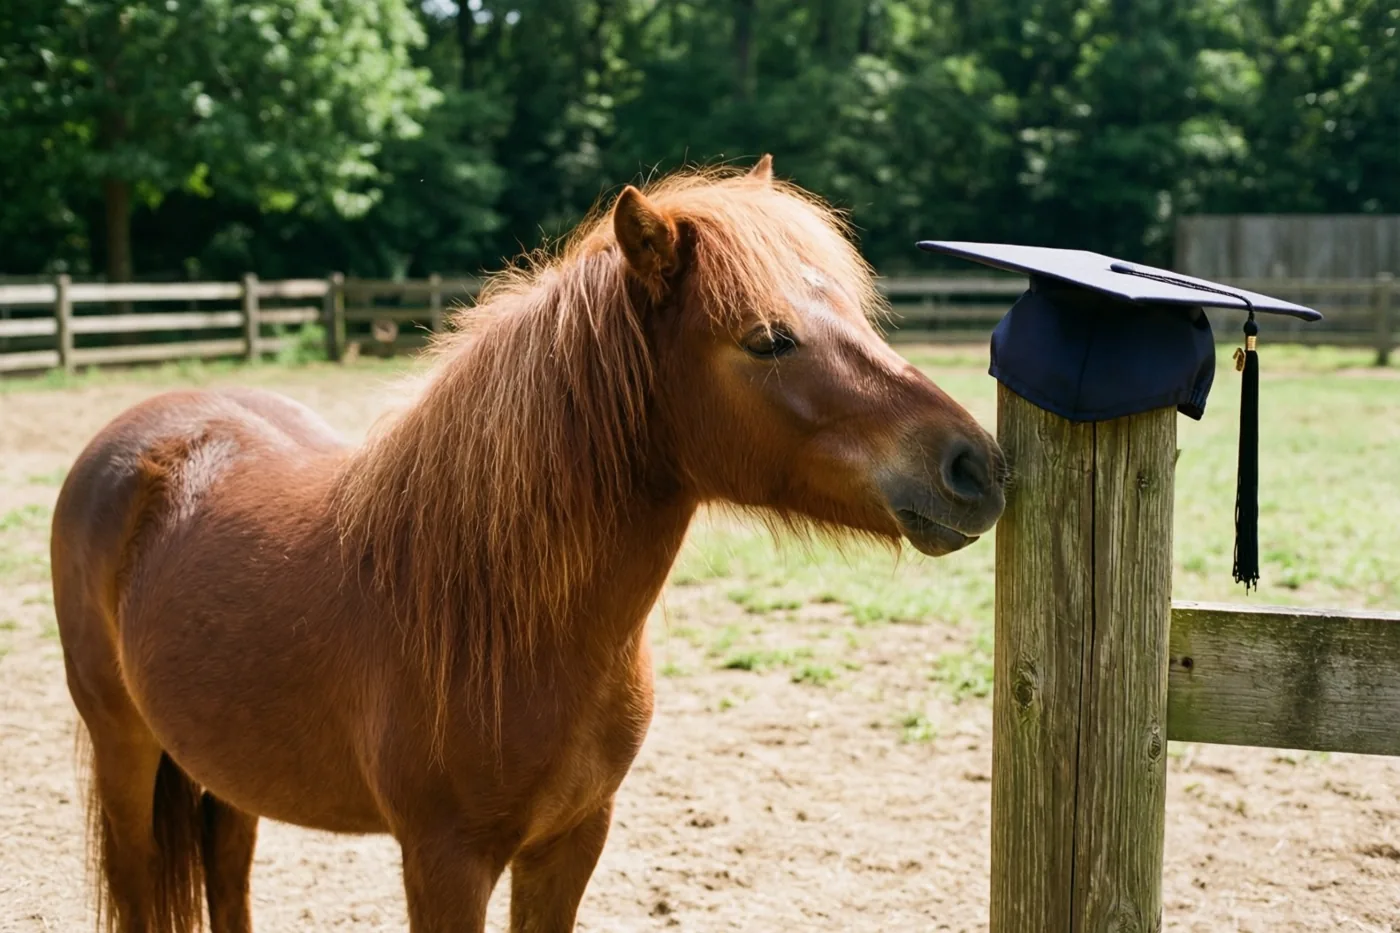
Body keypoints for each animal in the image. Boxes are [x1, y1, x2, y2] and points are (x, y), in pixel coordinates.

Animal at [51, 155, 1006, 933]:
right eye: (768, 338)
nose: (976, 466)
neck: (503, 610)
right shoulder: (444, 860)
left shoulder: (573, 838)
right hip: (124, 749)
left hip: (222, 768)